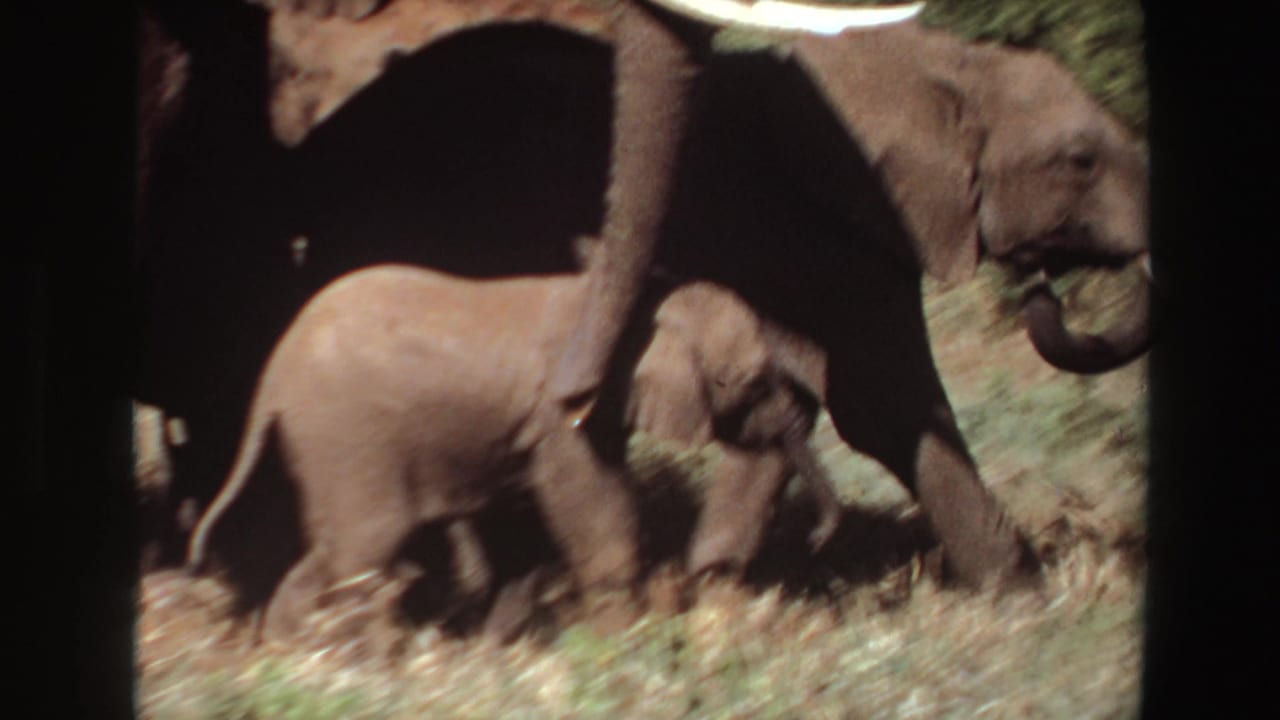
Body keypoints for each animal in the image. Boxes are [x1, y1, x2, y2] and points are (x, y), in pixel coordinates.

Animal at [185, 263, 842, 642]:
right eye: (746, 382)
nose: (817, 539)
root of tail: (272, 375)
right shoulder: (561, 415)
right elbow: (593, 512)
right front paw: (624, 646)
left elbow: (523, 531)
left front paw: (504, 649)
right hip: (348, 435)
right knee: (364, 550)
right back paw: (365, 664)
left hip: (326, 444)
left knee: (334, 548)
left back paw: (294, 652)